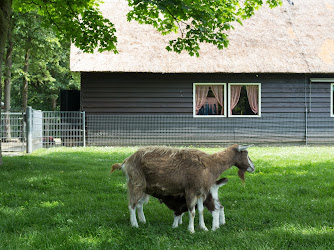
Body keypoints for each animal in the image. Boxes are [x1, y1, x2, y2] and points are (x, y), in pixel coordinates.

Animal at [111, 145, 253, 232]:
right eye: (246, 153)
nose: (253, 168)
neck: (210, 164)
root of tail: (126, 161)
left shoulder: (201, 192)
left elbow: (200, 210)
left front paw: (203, 228)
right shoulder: (190, 190)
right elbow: (192, 211)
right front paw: (191, 230)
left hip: (145, 187)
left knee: (139, 205)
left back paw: (143, 221)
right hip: (136, 182)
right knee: (132, 205)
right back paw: (134, 225)